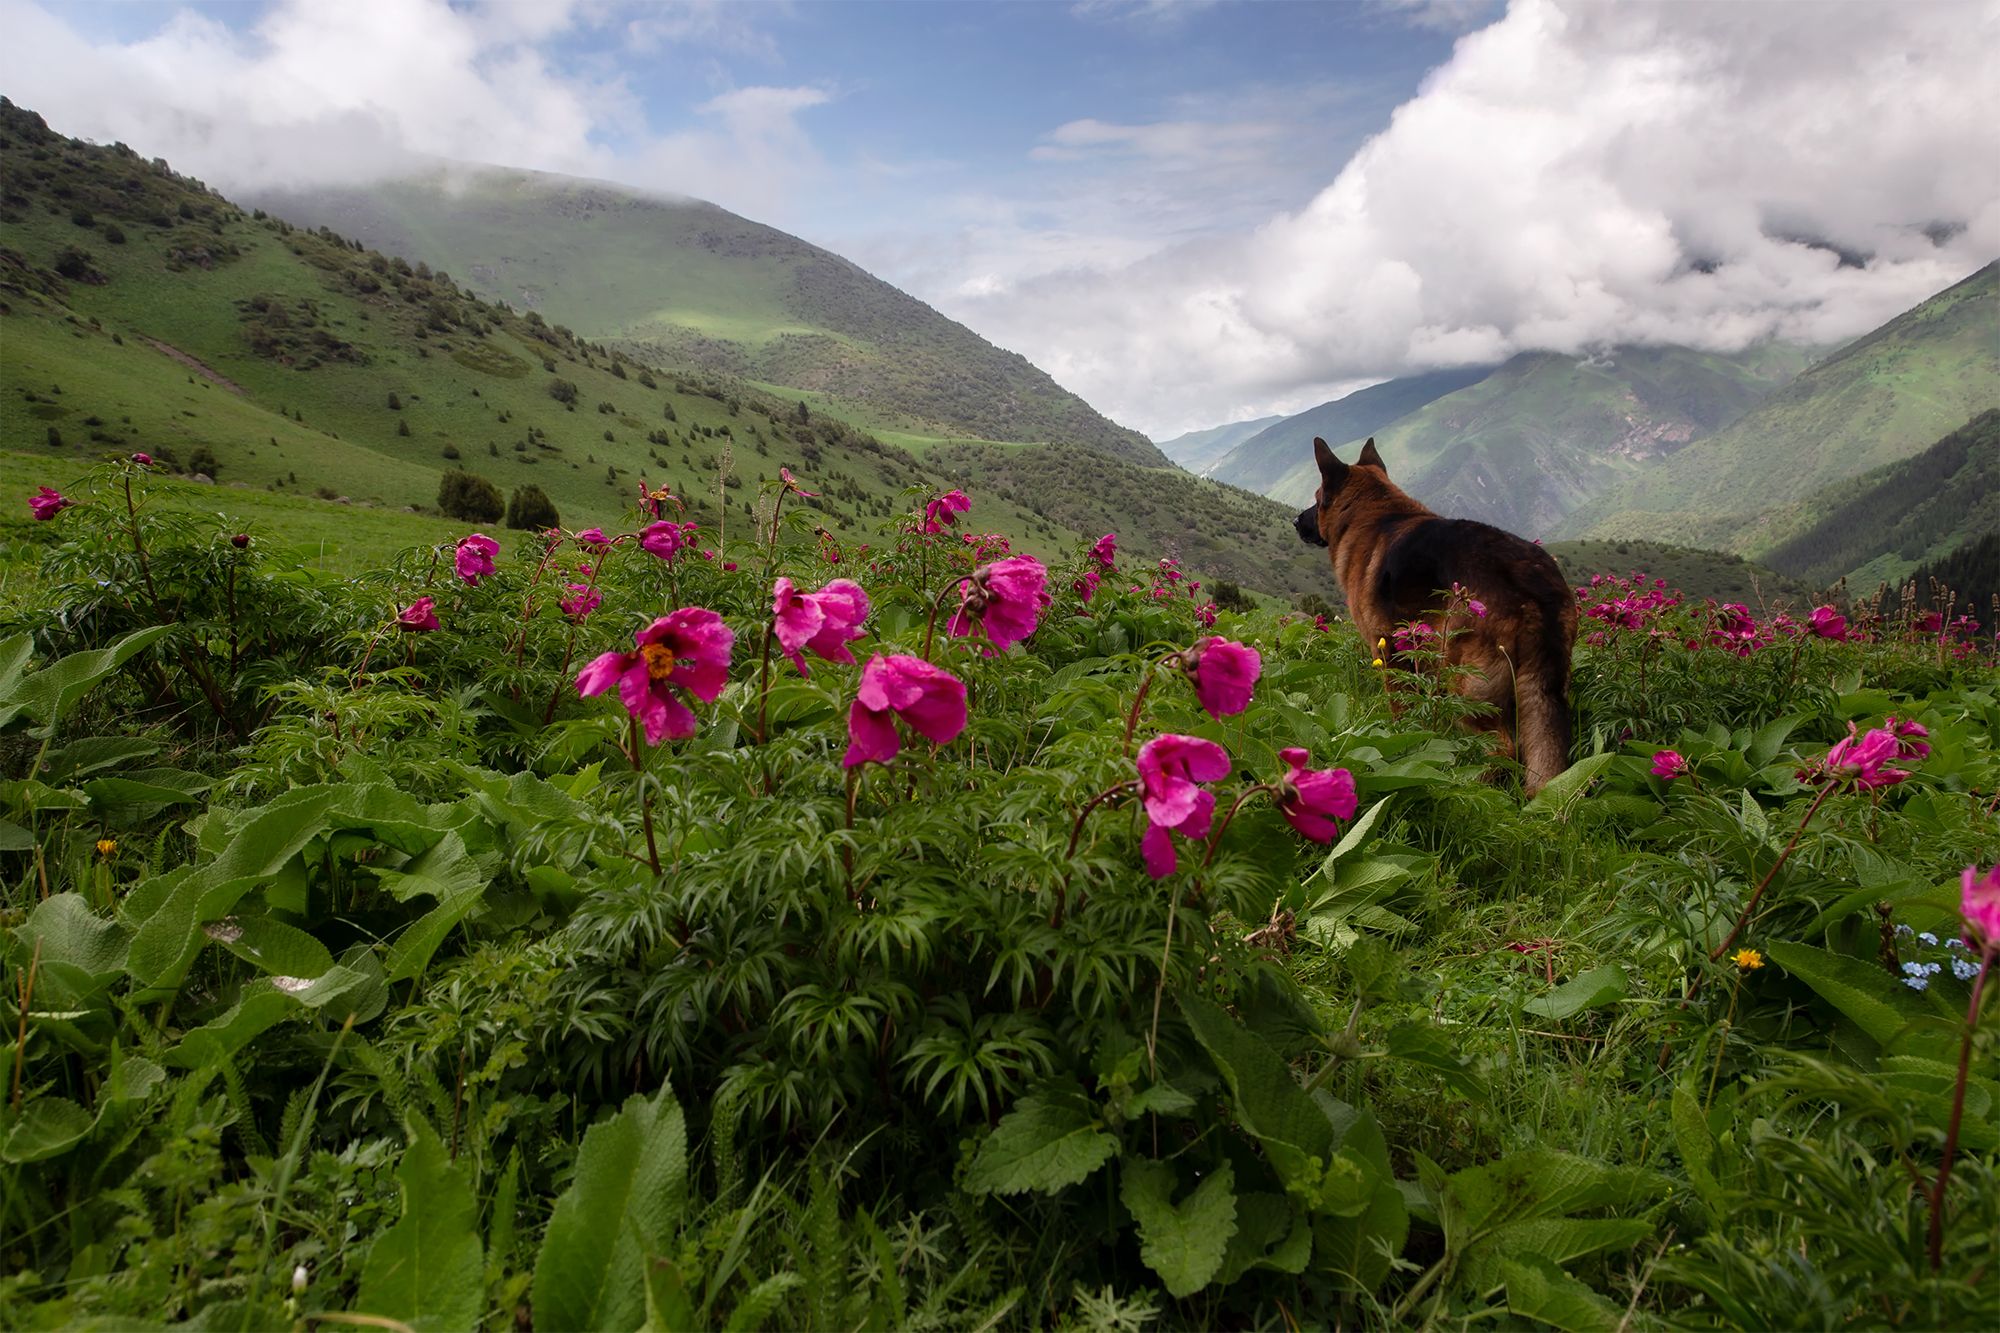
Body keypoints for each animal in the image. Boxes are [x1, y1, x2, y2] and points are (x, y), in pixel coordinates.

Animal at [1296, 436, 1576, 788]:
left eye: (1316, 498)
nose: (1295, 521)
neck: (1374, 511)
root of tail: (1529, 580)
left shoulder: (1389, 653)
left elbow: (1400, 712)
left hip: (1465, 685)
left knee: (1500, 747)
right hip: (1544, 690)